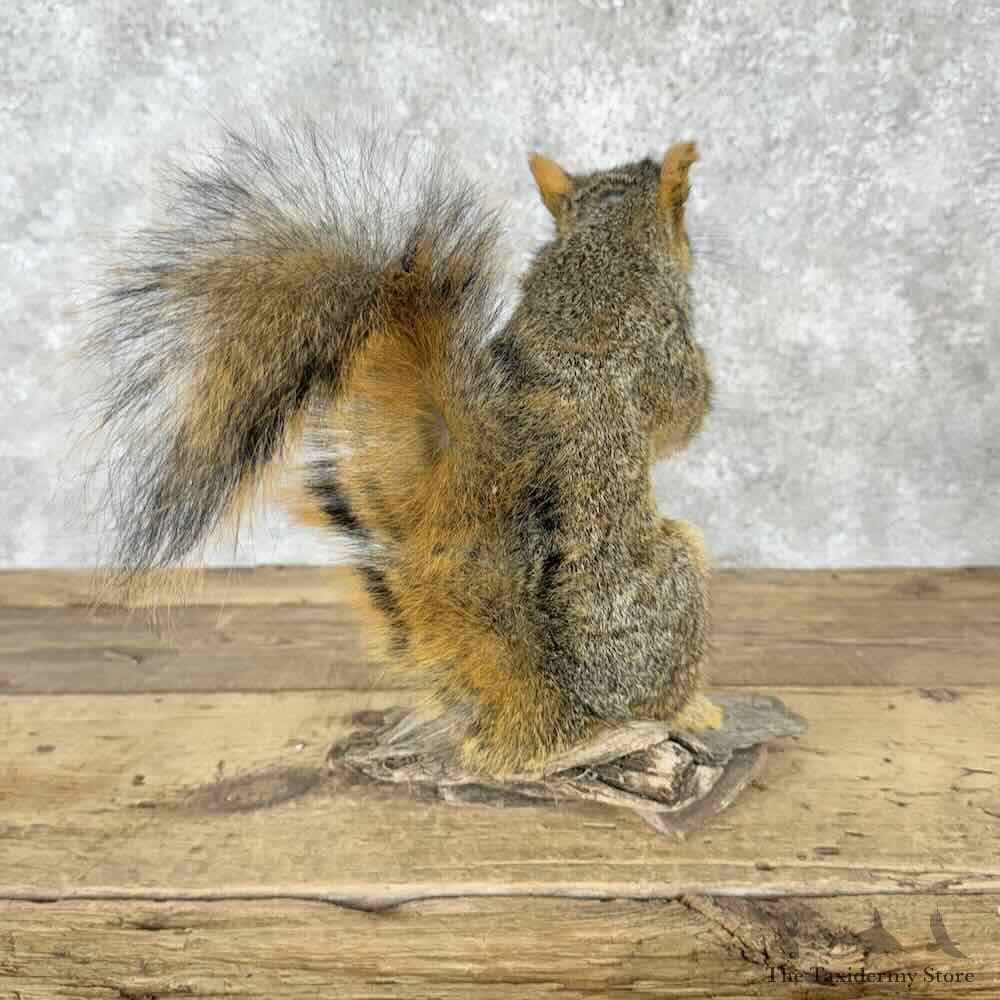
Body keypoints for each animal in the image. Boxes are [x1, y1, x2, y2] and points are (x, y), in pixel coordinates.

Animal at [85, 120, 718, 775]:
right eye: (684, 208)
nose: (694, 248)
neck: (598, 253)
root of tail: (555, 717)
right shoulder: (660, 348)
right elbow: (681, 414)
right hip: (680, 573)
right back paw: (690, 710)